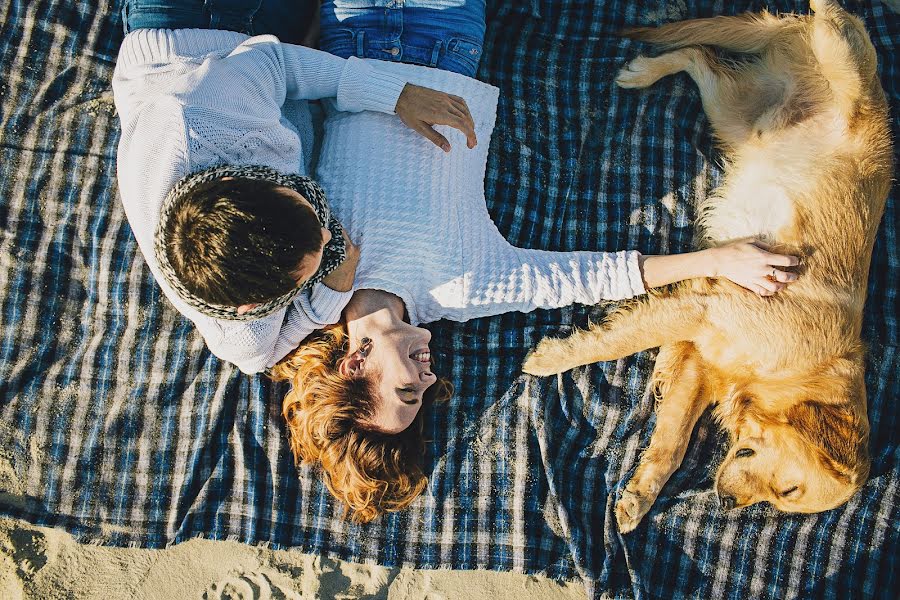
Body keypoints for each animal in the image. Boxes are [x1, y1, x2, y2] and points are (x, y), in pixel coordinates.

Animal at [520, 0, 892, 536]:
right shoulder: (703, 311)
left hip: (735, 116)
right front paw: (551, 360)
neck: (798, 370)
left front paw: (638, 497)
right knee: (829, 27)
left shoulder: (701, 356)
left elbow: (672, 444)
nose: (724, 503)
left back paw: (640, 71)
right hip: (841, 66)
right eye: (789, 490)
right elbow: (613, 343)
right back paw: (823, 8)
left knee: (702, 57)